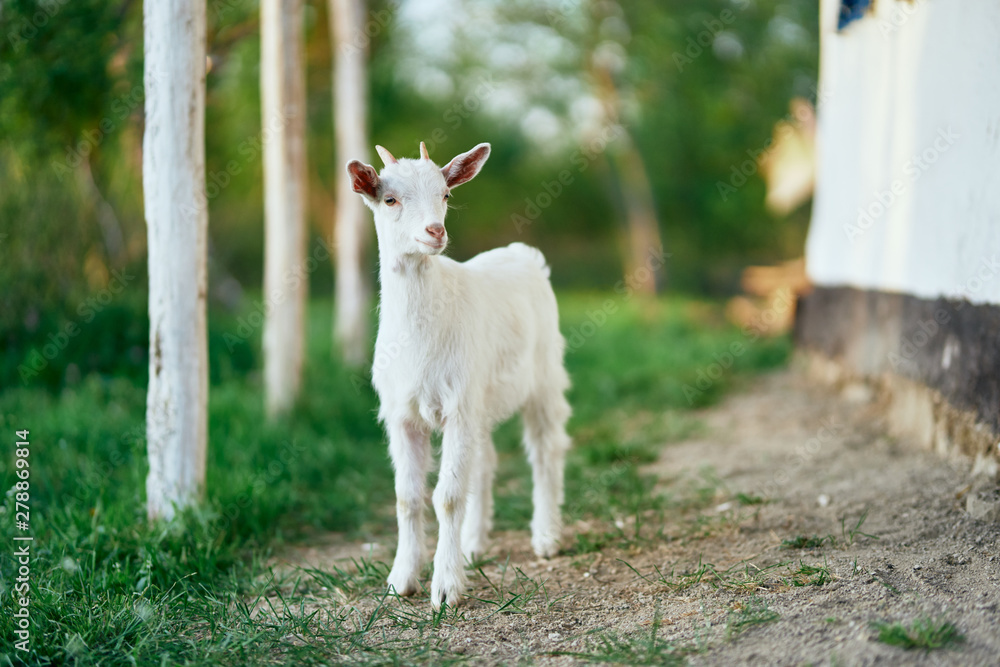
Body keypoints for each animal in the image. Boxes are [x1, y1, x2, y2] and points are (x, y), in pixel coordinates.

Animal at [346, 141, 572, 608]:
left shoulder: (458, 406)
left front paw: (446, 587)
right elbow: (407, 497)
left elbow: (447, 496)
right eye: (389, 199)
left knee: (546, 450)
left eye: (446, 194)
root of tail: (523, 253)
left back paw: (545, 537)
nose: (435, 231)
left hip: (542, 377)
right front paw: (401, 580)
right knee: (484, 463)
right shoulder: (404, 413)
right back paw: (473, 543)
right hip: (481, 399)